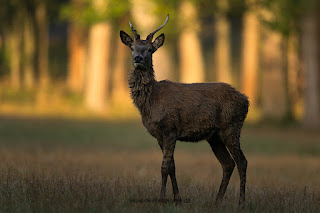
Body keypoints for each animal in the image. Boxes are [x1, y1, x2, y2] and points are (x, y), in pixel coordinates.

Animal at [120, 14, 250, 206]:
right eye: (132, 48)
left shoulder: (170, 129)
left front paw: (161, 200)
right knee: (228, 163)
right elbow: (172, 167)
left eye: (150, 49)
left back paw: (241, 202)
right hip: (215, 136)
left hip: (231, 127)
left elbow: (164, 167)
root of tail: (246, 101)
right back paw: (217, 200)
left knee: (242, 161)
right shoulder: (160, 135)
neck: (151, 103)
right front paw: (177, 199)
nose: (138, 58)